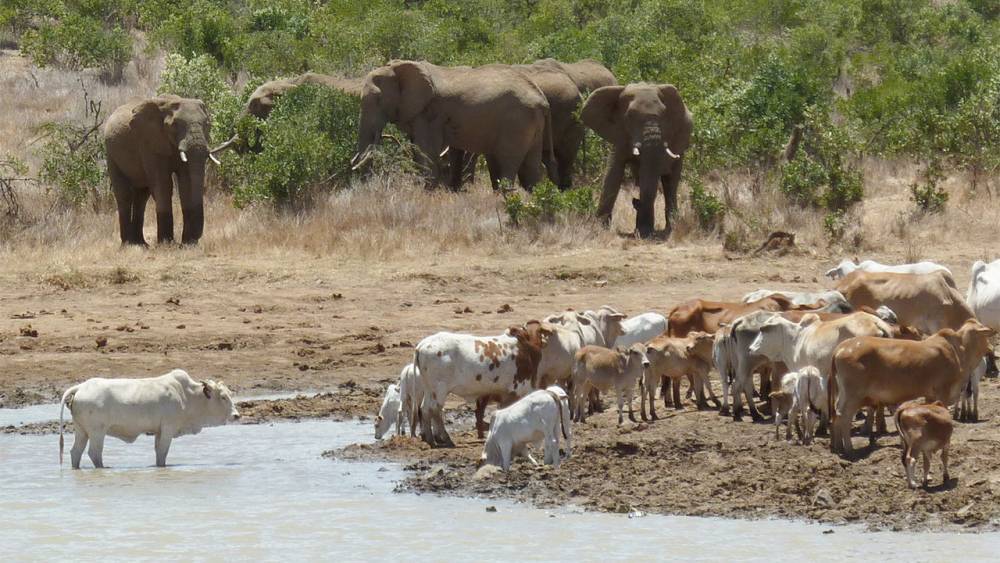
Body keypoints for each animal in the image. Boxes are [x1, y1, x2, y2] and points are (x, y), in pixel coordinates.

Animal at [58, 370, 240, 472]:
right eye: (223, 397)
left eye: (230, 394)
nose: (236, 415)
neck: (187, 395)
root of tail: (81, 387)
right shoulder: (168, 428)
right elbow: (163, 452)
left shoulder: (159, 431)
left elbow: (158, 453)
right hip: (97, 432)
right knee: (94, 453)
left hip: (82, 431)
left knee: (76, 452)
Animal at [102, 94, 214, 245]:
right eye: (175, 124)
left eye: (207, 124)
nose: (195, 239)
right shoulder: (149, 143)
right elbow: (163, 184)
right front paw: (167, 243)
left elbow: (186, 183)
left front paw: (187, 244)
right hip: (111, 154)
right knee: (123, 194)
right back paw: (128, 244)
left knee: (142, 196)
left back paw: (141, 244)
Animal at [350, 60, 556, 192]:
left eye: (378, 100)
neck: (397, 67)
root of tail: (542, 100)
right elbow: (417, 149)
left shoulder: (429, 114)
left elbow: (426, 150)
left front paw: (427, 192)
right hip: (532, 125)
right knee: (530, 166)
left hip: (516, 123)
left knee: (508, 160)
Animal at [584, 83, 692, 238]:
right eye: (629, 116)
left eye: (664, 115)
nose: (635, 201)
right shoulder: (619, 134)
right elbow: (613, 173)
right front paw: (599, 227)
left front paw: (644, 231)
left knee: (670, 183)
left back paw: (670, 228)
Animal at [828, 320, 992, 456]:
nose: (991, 348)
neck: (958, 351)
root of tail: (841, 348)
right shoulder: (943, 392)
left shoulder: (930, 395)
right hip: (853, 395)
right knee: (844, 416)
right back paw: (849, 449)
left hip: (843, 394)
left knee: (836, 414)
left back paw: (838, 447)